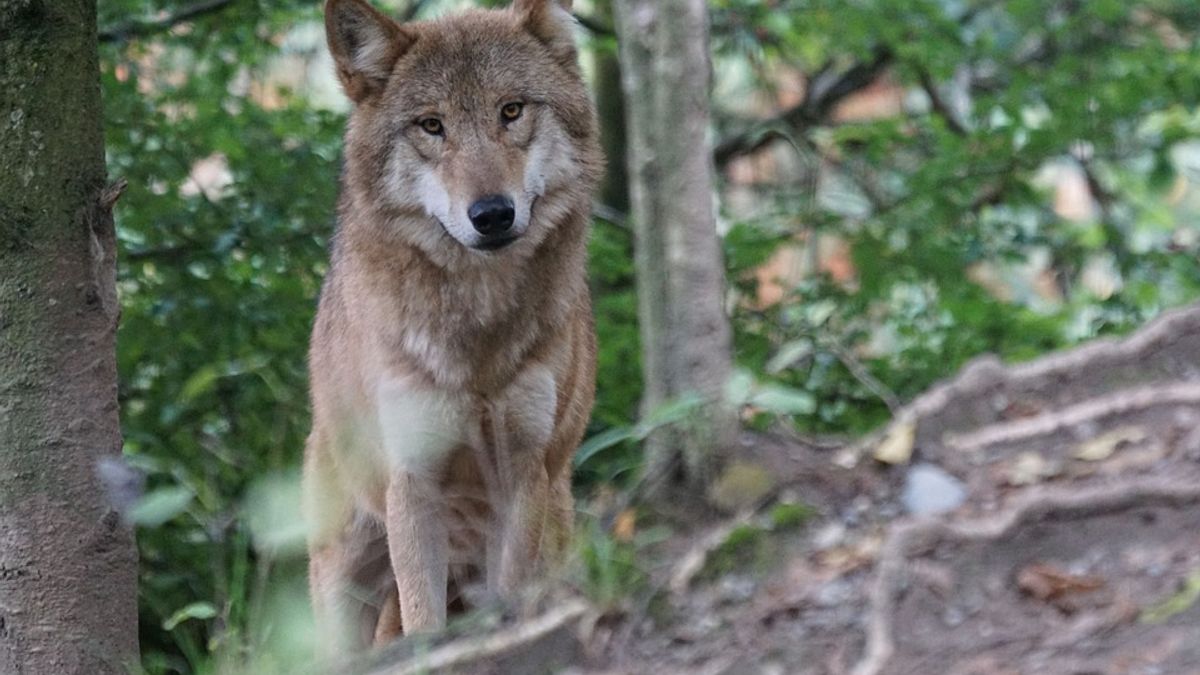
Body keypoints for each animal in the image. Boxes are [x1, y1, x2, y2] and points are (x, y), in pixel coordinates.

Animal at [303, 0, 602, 654]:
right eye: (431, 125)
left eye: (510, 110)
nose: (491, 214)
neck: (477, 336)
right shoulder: (413, 483)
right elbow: (424, 620)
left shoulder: (522, 471)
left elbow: (512, 596)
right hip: (344, 579)